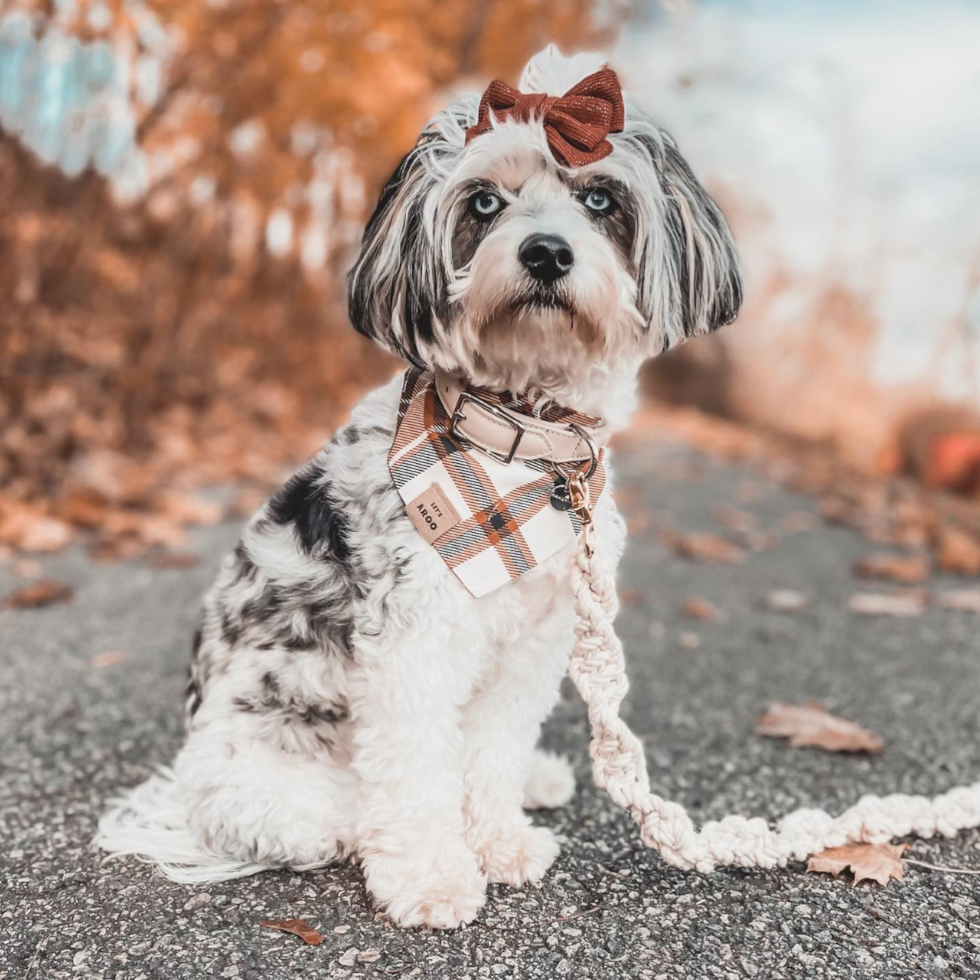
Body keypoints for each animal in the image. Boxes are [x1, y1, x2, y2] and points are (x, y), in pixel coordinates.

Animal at [99, 46, 744, 932]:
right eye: (484, 202)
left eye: (600, 199)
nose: (546, 253)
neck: (519, 439)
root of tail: (183, 794)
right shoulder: (415, 643)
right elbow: (416, 771)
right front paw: (435, 874)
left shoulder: (535, 639)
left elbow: (494, 749)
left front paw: (498, 839)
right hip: (278, 787)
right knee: (345, 811)